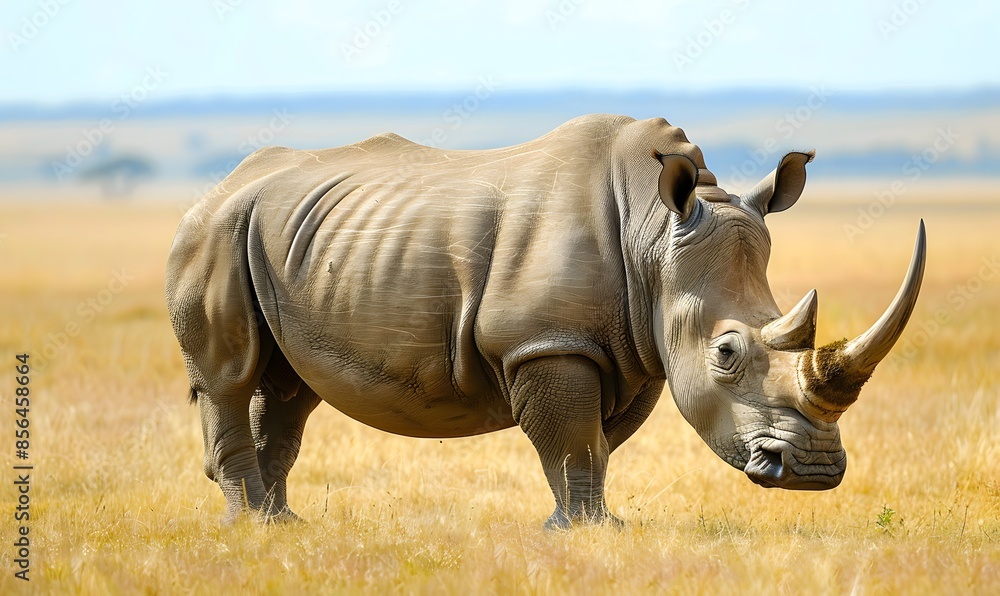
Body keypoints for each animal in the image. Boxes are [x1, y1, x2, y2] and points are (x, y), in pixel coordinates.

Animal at [166, 114, 925, 528]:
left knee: (288, 387)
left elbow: (592, 445)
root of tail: (221, 184)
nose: (813, 471)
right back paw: (252, 524)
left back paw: (280, 524)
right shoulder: (547, 343)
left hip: (279, 236)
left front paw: (586, 522)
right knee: (229, 377)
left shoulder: (631, 348)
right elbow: (572, 441)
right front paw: (589, 533)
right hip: (214, 233)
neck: (656, 238)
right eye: (727, 354)